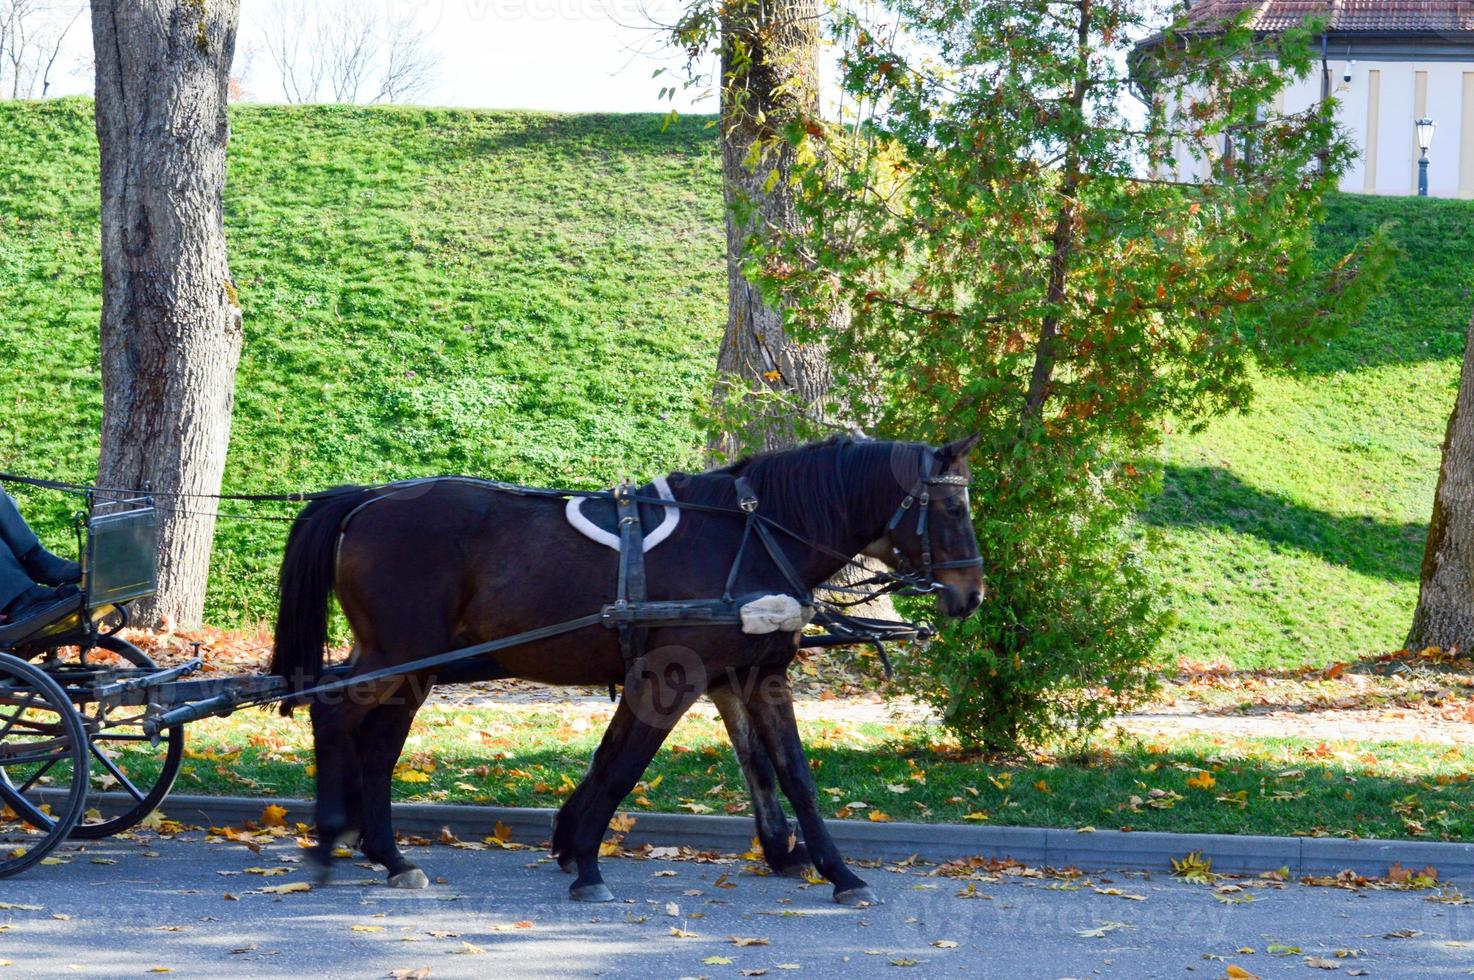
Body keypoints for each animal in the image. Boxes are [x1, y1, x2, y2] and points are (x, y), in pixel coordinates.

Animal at [271, 433, 984, 907]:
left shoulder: (757, 676)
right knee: (339, 716)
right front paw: (586, 861)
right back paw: (348, 841)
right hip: (401, 658)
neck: (748, 537)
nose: (971, 594)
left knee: (364, 735)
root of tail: (365, 501)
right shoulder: (673, 676)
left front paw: (838, 871)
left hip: (402, 663)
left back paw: (376, 851)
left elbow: (789, 775)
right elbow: (623, 767)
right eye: (954, 510)